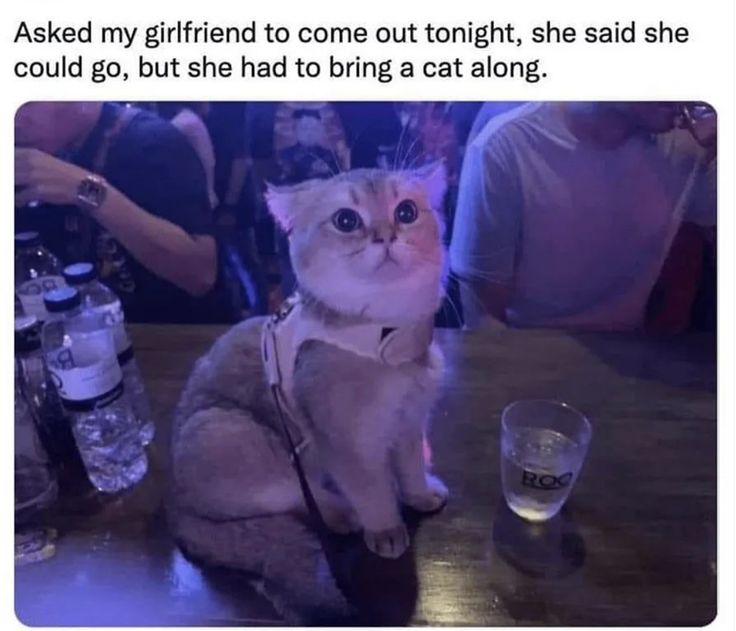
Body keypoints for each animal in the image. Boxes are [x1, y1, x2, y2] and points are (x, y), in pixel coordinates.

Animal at [168, 163, 448, 624]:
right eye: (346, 220)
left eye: (406, 211)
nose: (386, 235)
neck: (385, 341)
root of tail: (175, 504)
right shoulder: (346, 442)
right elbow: (371, 489)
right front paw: (385, 527)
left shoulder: (409, 422)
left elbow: (408, 468)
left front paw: (420, 494)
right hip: (230, 432)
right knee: (295, 495)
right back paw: (342, 514)